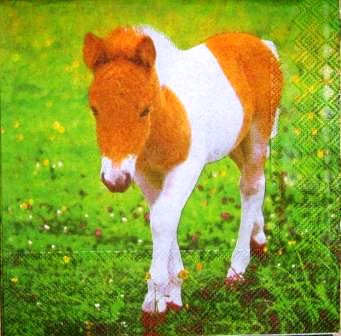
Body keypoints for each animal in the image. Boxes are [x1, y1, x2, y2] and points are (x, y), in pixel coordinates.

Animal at [81, 25, 282, 316]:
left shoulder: (186, 168)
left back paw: (237, 270)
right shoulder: (143, 173)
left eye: (145, 110)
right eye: (94, 109)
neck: (164, 124)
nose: (115, 180)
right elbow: (163, 218)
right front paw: (172, 295)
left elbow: (163, 219)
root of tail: (263, 44)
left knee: (251, 186)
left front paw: (154, 303)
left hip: (257, 133)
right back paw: (259, 237)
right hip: (236, 142)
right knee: (257, 180)